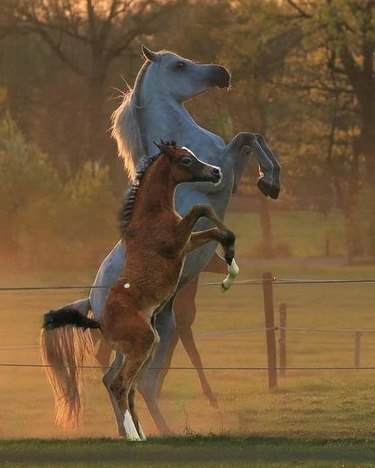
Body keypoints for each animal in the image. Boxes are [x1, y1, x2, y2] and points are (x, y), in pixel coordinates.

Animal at [40, 141, 238, 440]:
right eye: (186, 160)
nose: (215, 172)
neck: (150, 216)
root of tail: (98, 320)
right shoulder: (176, 242)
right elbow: (201, 208)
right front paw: (229, 263)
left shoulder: (186, 244)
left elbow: (215, 230)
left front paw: (230, 270)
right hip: (142, 346)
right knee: (120, 385)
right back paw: (133, 436)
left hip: (146, 348)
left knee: (125, 386)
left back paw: (140, 433)